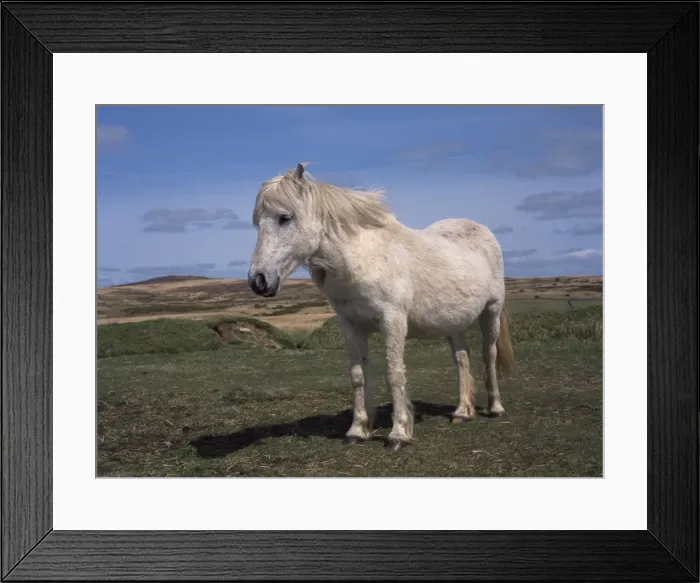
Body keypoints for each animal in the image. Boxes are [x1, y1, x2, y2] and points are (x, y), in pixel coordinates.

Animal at [247, 163, 516, 452]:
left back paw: (495, 407)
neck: (362, 260)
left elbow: (394, 373)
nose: (258, 281)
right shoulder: (350, 325)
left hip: (491, 312)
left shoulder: (392, 321)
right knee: (462, 358)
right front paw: (357, 430)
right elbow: (358, 375)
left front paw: (398, 434)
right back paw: (462, 412)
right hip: (452, 322)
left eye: (284, 218)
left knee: (489, 355)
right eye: (258, 223)